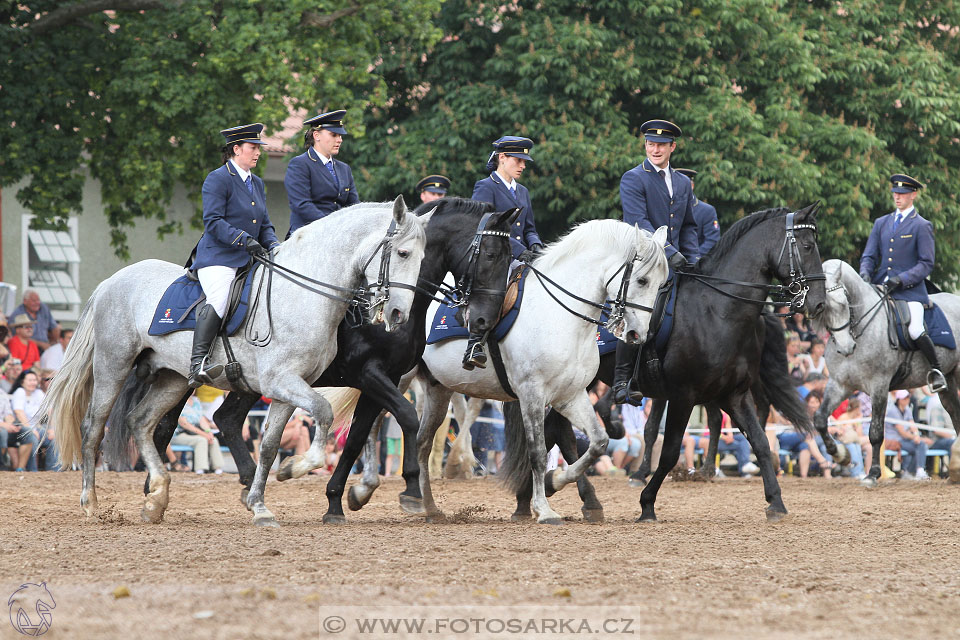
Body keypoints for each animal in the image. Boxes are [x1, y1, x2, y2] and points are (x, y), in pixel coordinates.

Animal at [47, 199, 432, 524]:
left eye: (423, 258)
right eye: (402, 252)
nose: (398, 314)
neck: (303, 295)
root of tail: (111, 281)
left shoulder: (289, 387)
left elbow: (270, 445)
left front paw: (260, 505)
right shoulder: (286, 381)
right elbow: (325, 413)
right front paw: (295, 469)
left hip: (173, 378)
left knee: (141, 422)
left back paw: (156, 497)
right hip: (113, 365)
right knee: (94, 428)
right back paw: (91, 503)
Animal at [106, 198, 520, 524]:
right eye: (491, 256)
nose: (482, 320)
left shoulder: (382, 379)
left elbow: (358, 437)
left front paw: (344, 498)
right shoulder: (369, 375)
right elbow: (403, 418)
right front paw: (406, 490)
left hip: (242, 382)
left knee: (223, 420)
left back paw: (237, 486)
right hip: (199, 377)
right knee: (166, 426)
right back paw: (159, 489)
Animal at [496, 202, 824, 524]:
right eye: (808, 246)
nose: (819, 303)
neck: (716, 311)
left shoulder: (734, 395)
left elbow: (760, 442)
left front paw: (776, 502)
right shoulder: (683, 395)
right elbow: (668, 452)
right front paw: (647, 503)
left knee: (557, 431)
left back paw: (549, 497)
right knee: (560, 432)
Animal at [808, 258, 960, 488]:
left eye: (843, 303)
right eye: (822, 307)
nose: (845, 347)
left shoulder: (879, 386)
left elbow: (876, 432)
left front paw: (872, 474)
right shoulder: (840, 385)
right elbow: (819, 418)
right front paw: (841, 455)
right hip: (948, 380)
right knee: (954, 411)